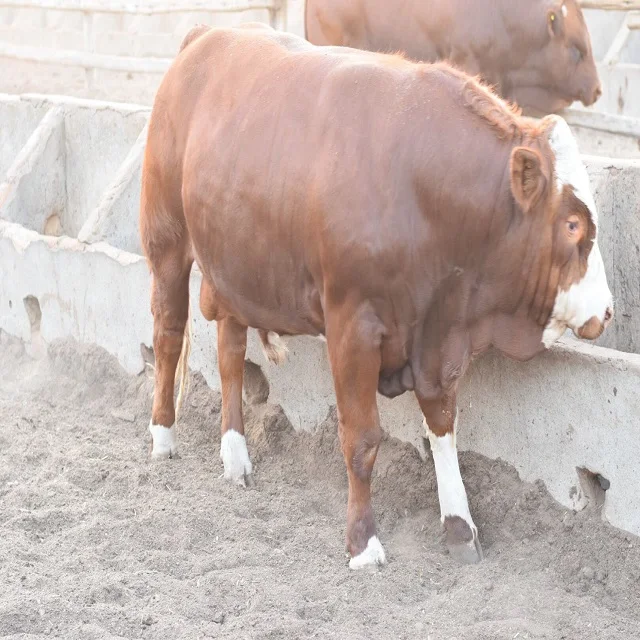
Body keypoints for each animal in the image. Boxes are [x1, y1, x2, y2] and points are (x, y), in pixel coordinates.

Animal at [140, 23, 613, 569]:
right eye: (572, 223)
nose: (606, 310)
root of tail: (209, 32)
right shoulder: (352, 325)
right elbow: (362, 439)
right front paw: (363, 543)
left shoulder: (439, 333)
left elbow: (443, 427)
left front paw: (460, 526)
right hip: (167, 242)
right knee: (168, 334)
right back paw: (162, 437)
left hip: (235, 266)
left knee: (231, 354)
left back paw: (236, 458)